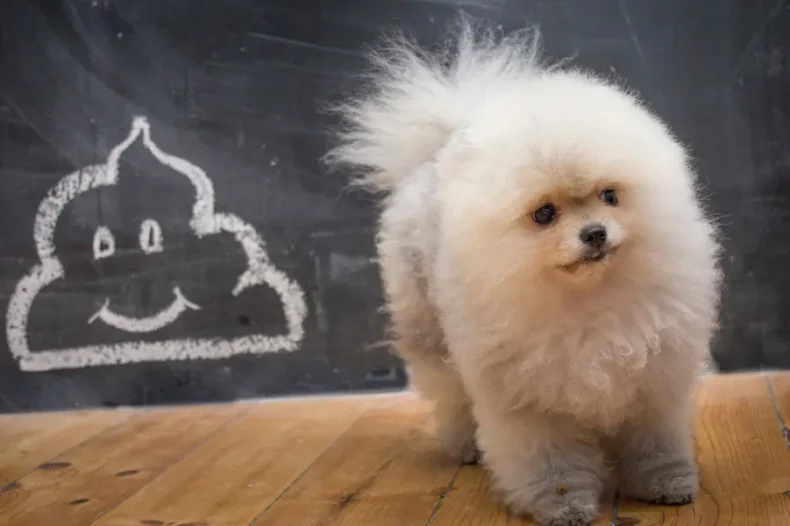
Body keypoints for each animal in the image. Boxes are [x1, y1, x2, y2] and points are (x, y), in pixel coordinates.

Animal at [326, 16, 724, 526]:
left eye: (610, 196)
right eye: (545, 214)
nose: (595, 233)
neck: (587, 301)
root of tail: (435, 157)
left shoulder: (653, 380)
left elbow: (655, 439)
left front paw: (668, 483)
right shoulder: (528, 400)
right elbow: (551, 462)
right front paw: (563, 505)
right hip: (432, 335)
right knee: (450, 394)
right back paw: (467, 447)